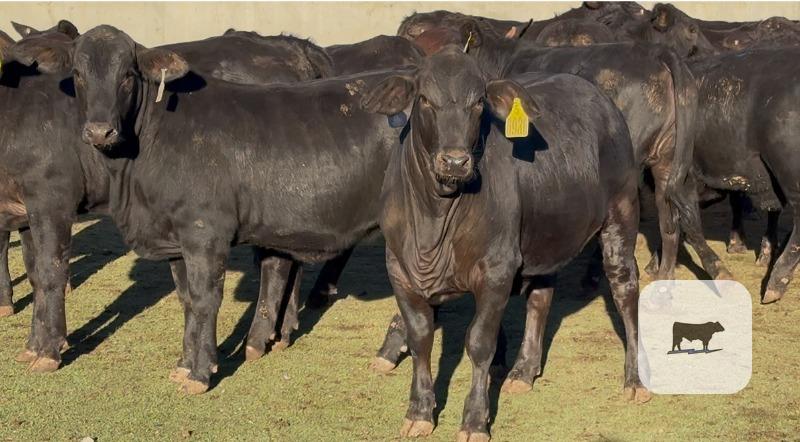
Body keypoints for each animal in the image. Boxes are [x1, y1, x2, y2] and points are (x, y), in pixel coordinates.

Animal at [10, 25, 414, 393]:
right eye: (78, 75)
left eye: (127, 75)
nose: (99, 131)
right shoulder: (173, 234)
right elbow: (187, 298)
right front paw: (185, 363)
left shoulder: (204, 231)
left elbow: (205, 298)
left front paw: (200, 372)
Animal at [363, 47, 648, 439]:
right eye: (425, 99)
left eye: (478, 103)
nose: (455, 160)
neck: (433, 219)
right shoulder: (399, 271)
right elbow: (420, 336)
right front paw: (419, 412)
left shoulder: (496, 270)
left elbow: (480, 342)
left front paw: (474, 420)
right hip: (547, 235)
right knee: (541, 299)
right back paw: (523, 371)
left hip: (621, 215)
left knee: (625, 289)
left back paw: (634, 380)